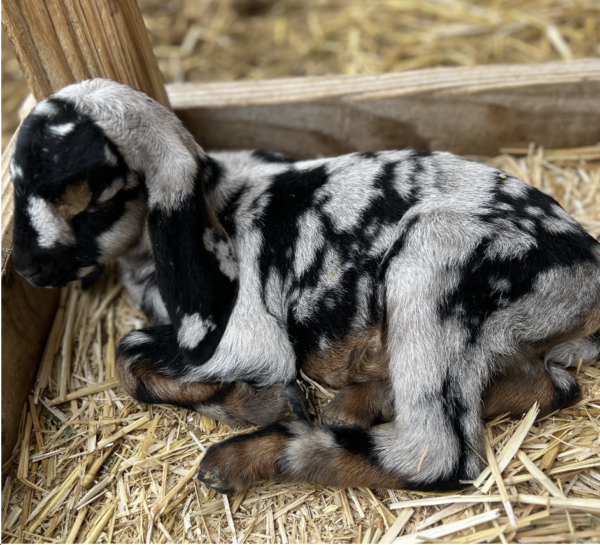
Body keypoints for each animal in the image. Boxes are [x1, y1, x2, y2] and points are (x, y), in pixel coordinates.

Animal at [10, 79, 600, 492]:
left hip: (434, 263)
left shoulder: (241, 338)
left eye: (89, 202)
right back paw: (358, 402)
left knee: (441, 452)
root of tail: (587, 272)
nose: (24, 268)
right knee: (550, 386)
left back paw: (245, 458)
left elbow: (128, 355)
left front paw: (261, 404)